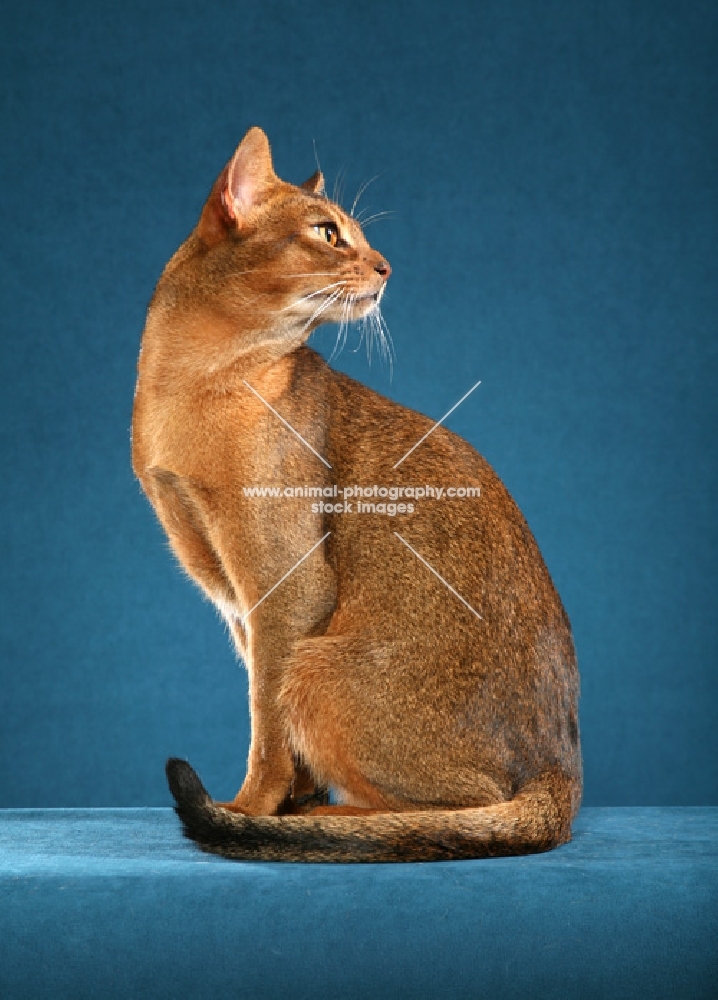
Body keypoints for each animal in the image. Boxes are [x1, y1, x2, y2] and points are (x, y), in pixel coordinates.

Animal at [134, 125, 584, 860]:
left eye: (359, 237)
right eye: (327, 232)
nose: (386, 268)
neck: (195, 380)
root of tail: (563, 779)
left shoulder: (284, 585)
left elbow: (266, 723)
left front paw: (253, 808)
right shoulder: (233, 595)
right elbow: (267, 707)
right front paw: (286, 802)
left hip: (321, 667)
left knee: (455, 809)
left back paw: (331, 821)